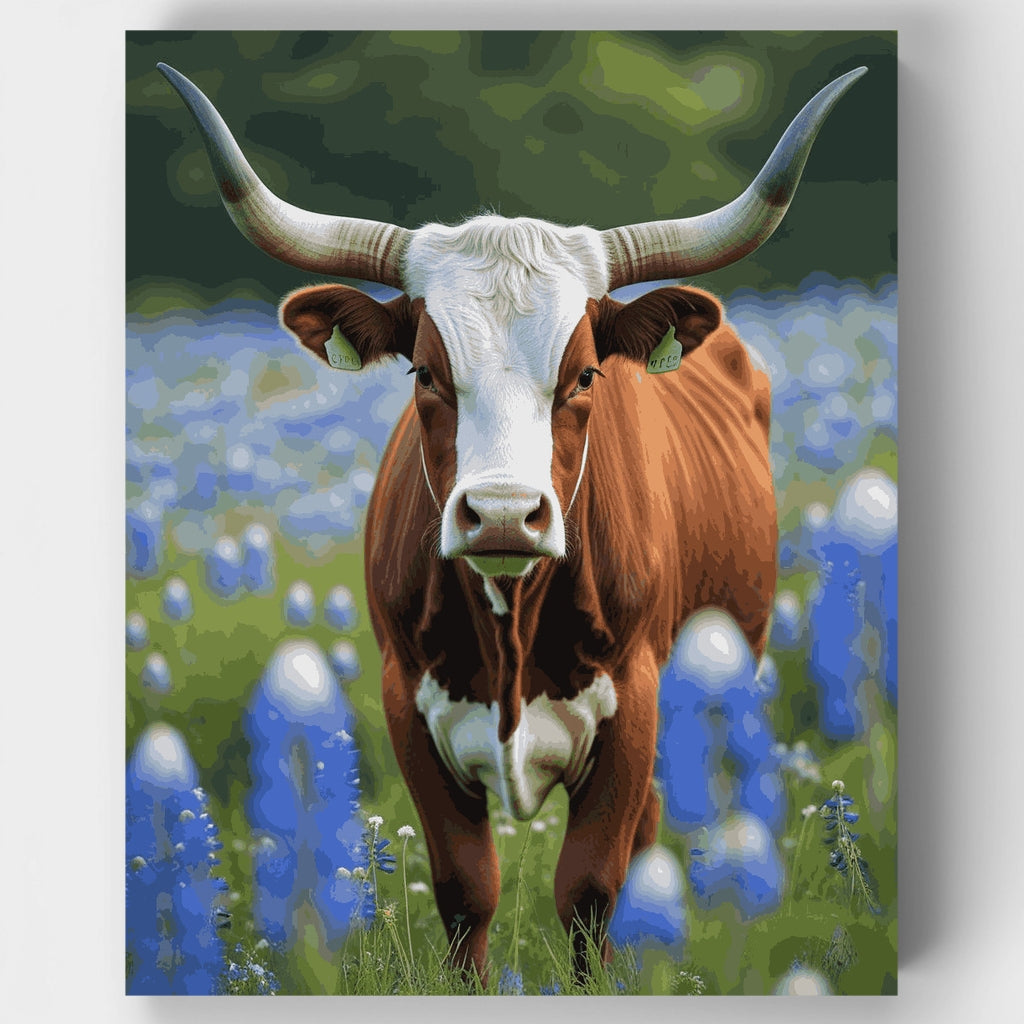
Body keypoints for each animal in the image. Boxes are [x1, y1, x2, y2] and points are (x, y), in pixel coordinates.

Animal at [158, 62, 865, 981]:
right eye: (424, 372)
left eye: (585, 374)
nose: (501, 515)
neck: (510, 626)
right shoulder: (407, 707)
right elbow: (467, 890)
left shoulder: (635, 708)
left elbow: (592, 889)